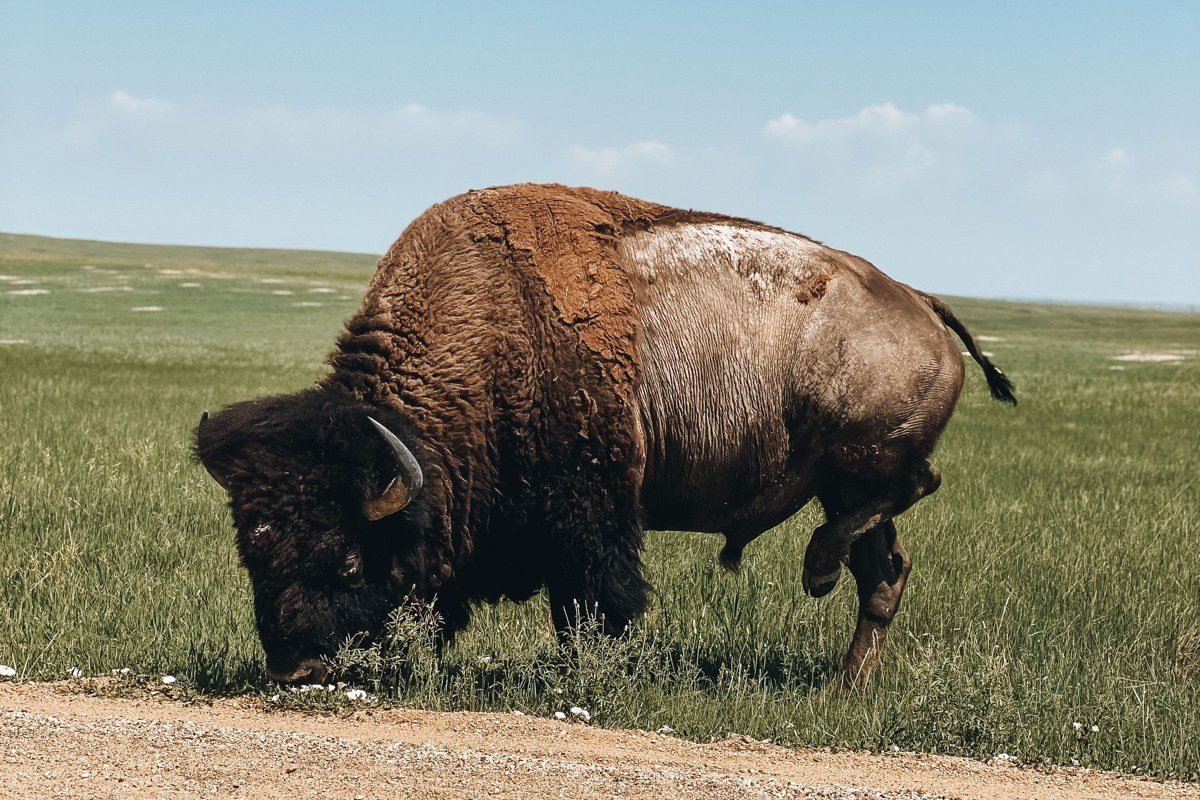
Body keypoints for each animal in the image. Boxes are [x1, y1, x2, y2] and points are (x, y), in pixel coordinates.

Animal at [196, 184, 1014, 688]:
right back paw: (840, 689)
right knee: (884, 572)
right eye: (251, 554)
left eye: (349, 559)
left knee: (909, 490)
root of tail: (922, 303)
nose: (296, 669)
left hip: (858, 459)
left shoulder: (592, 508)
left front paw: (584, 673)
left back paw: (816, 574)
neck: (492, 329)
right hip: (843, 482)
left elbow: (594, 602)